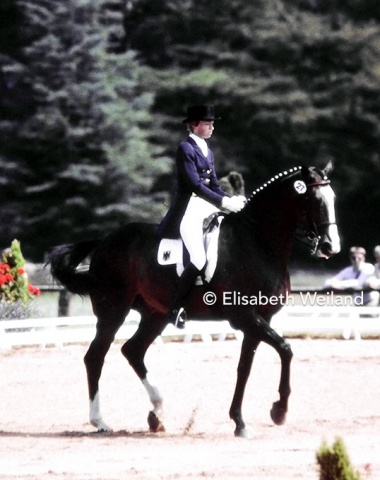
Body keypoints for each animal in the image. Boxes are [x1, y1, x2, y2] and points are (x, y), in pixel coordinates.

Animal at [49, 162, 340, 438]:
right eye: (315, 200)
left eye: (333, 198)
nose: (330, 247)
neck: (257, 242)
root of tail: (104, 242)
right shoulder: (245, 317)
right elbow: (285, 349)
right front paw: (278, 411)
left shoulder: (259, 319)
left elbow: (245, 367)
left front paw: (240, 422)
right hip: (113, 311)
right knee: (95, 357)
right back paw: (100, 421)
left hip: (155, 314)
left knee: (133, 351)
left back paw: (157, 413)